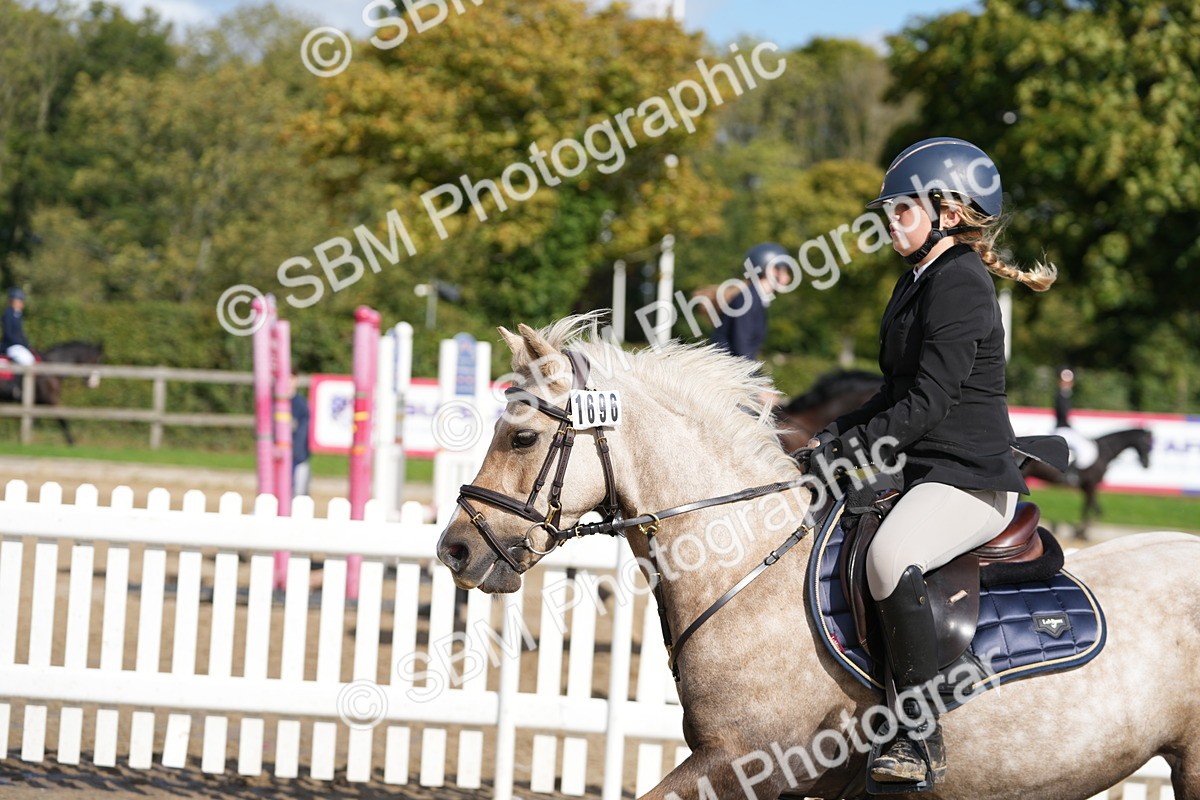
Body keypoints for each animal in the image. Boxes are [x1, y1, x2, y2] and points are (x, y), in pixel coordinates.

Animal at [1022, 428, 1153, 539]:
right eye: (1147, 444)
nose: (1146, 464)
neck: (1103, 453)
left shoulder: (1088, 487)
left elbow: (1095, 509)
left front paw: (1080, 531)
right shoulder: (1090, 486)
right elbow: (1089, 508)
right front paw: (1080, 532)